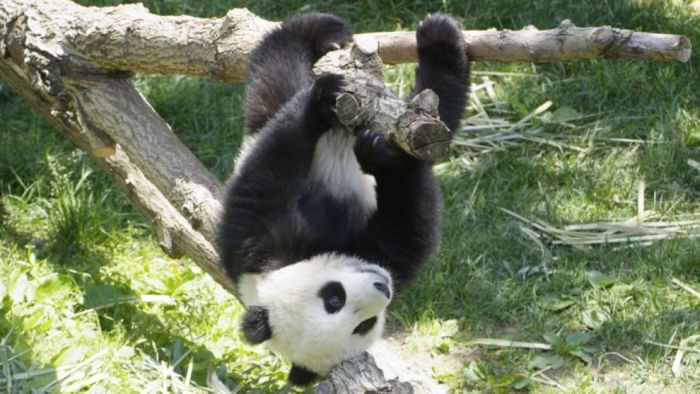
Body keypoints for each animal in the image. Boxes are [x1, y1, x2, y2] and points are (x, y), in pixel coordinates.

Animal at [219, 11, 470, 384]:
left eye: (332, 296)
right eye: (361, 323)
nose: (383, 287)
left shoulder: (253, 242)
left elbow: (266, 177)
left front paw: (326, 105)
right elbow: (408, 229)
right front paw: (381, 157)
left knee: (276, 79)